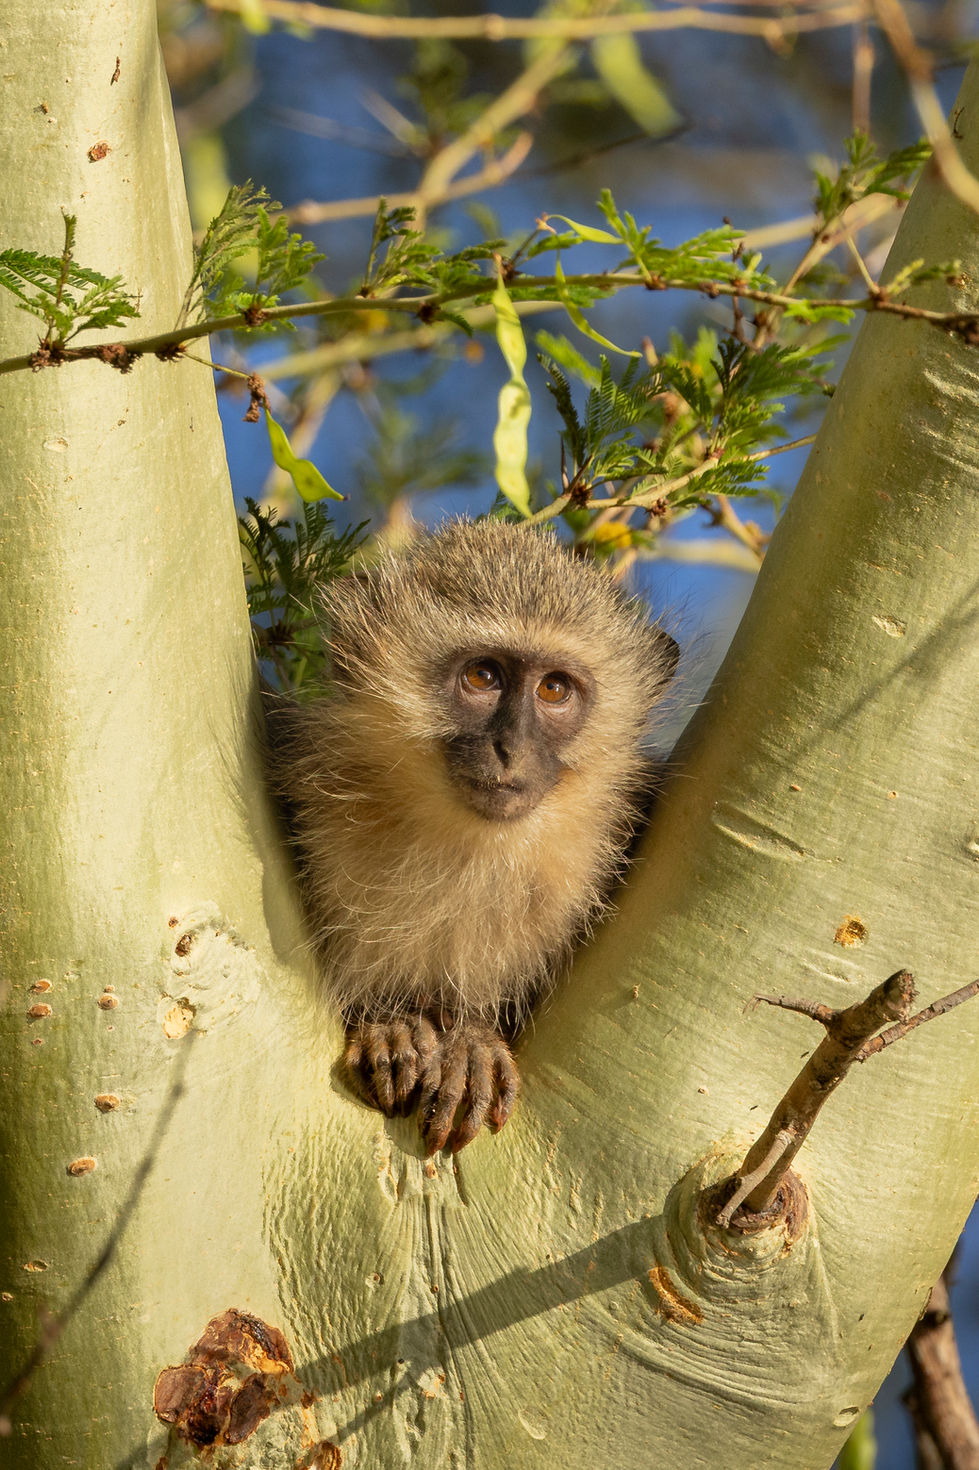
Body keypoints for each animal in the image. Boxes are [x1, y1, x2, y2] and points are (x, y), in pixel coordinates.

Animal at [275, 517, 678, 1154]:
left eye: (555, 690)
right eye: (482, 676)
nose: (509, 748)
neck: (472, 846)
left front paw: (472, 1043)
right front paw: (389, 1024)